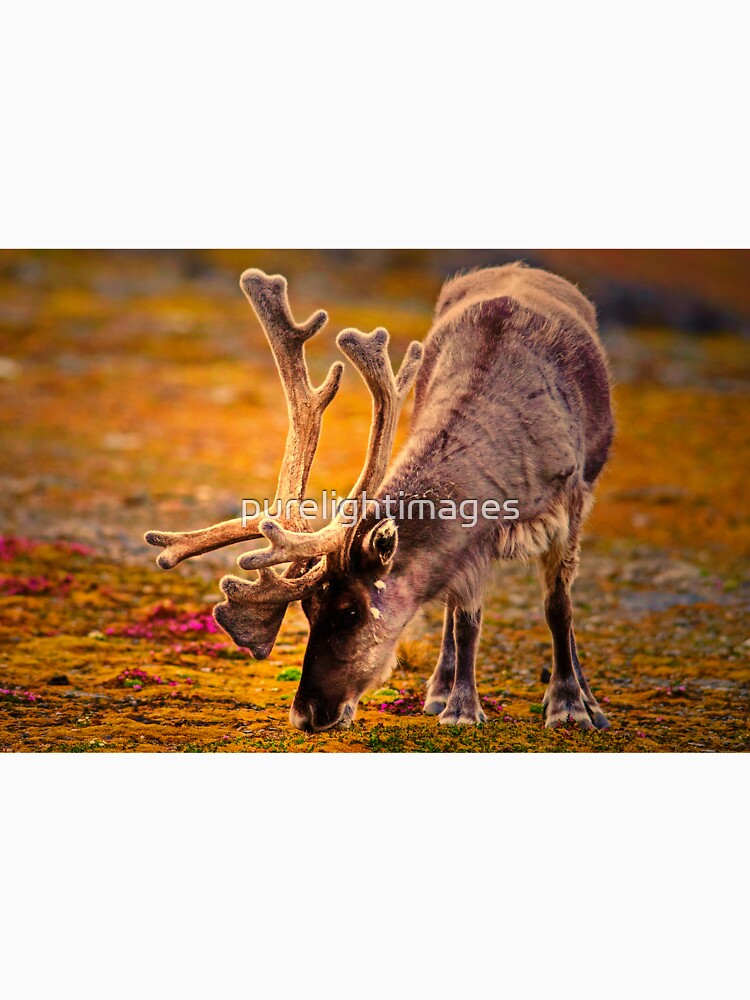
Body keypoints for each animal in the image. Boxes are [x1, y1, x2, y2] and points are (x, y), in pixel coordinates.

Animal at [145, 263, 614, 733]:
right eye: (307, 608)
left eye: (350, 612)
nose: (304, 714)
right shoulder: (471, 545)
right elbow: (466, 619)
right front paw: (459, 704)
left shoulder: (568, 506)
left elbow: (558, 608)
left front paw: (567, 704)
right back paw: (439, 689)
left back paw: (588, 700)